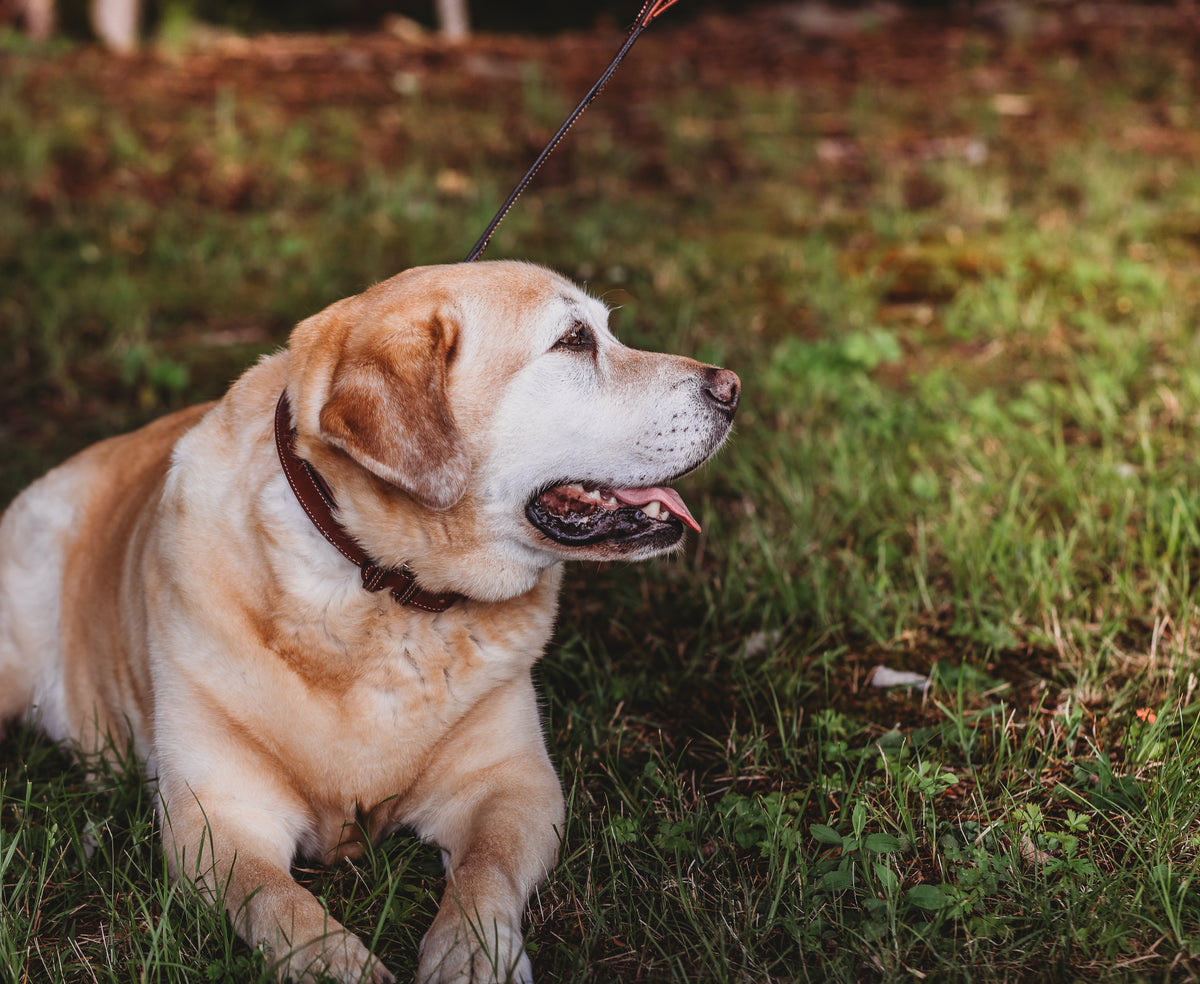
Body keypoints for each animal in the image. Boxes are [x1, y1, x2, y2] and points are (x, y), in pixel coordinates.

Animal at [0, 261, 739, 984]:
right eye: (575, 341)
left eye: (605, 332)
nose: (732, 388)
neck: (382, 589)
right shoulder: (219, 822)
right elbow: (282, 906)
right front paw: (341, 964)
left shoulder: (511, 786)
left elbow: (485, 876)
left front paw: (473, 956)